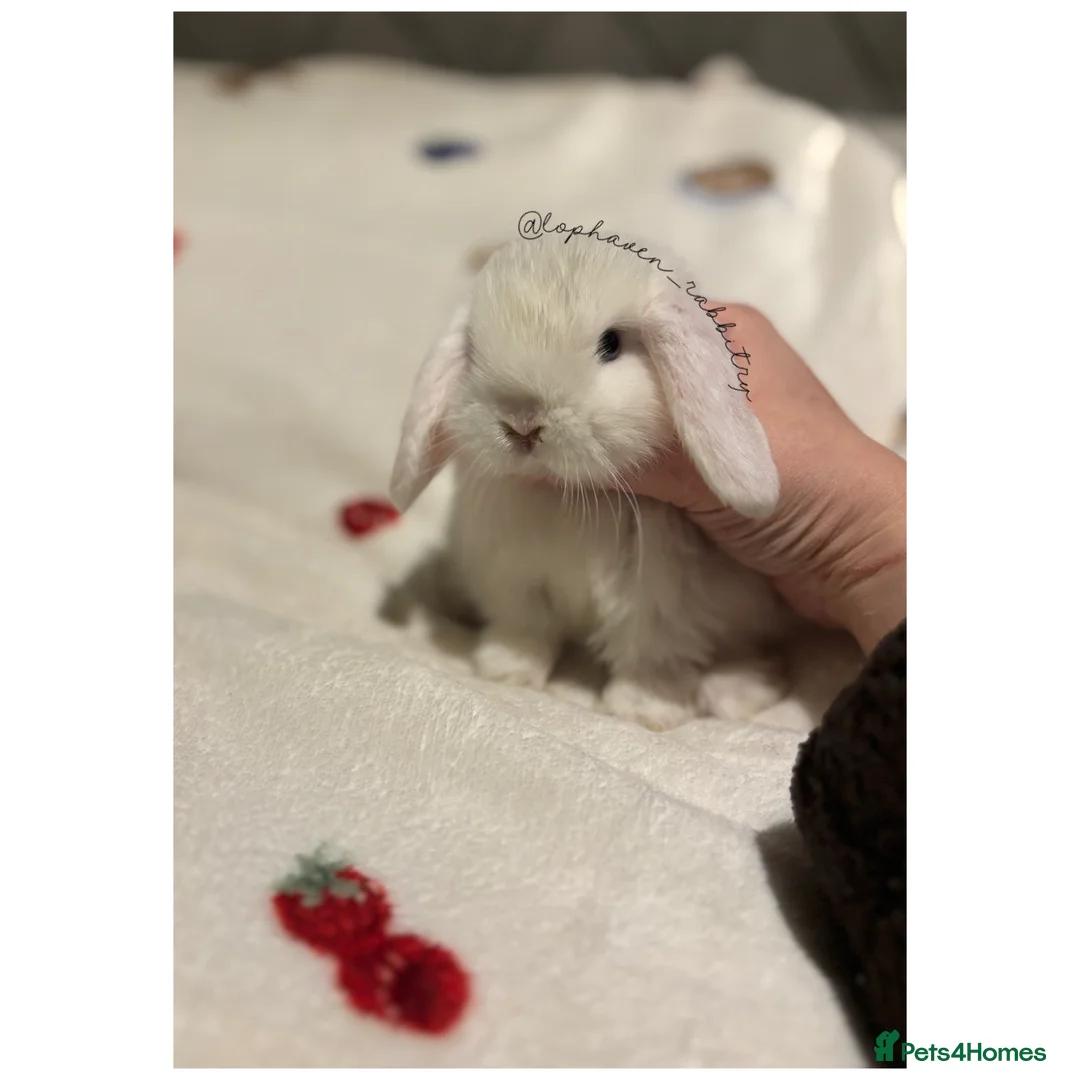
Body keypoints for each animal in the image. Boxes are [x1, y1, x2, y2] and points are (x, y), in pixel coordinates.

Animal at [388, 232, 802, 731]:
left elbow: (651, 649)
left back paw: (735, 691)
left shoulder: (659, 596)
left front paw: (644, 709)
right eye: (472, 350)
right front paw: (507, 670)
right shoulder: (515, 577)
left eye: (611, 344)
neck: (566, 495)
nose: (522, 423)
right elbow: (525, 627)